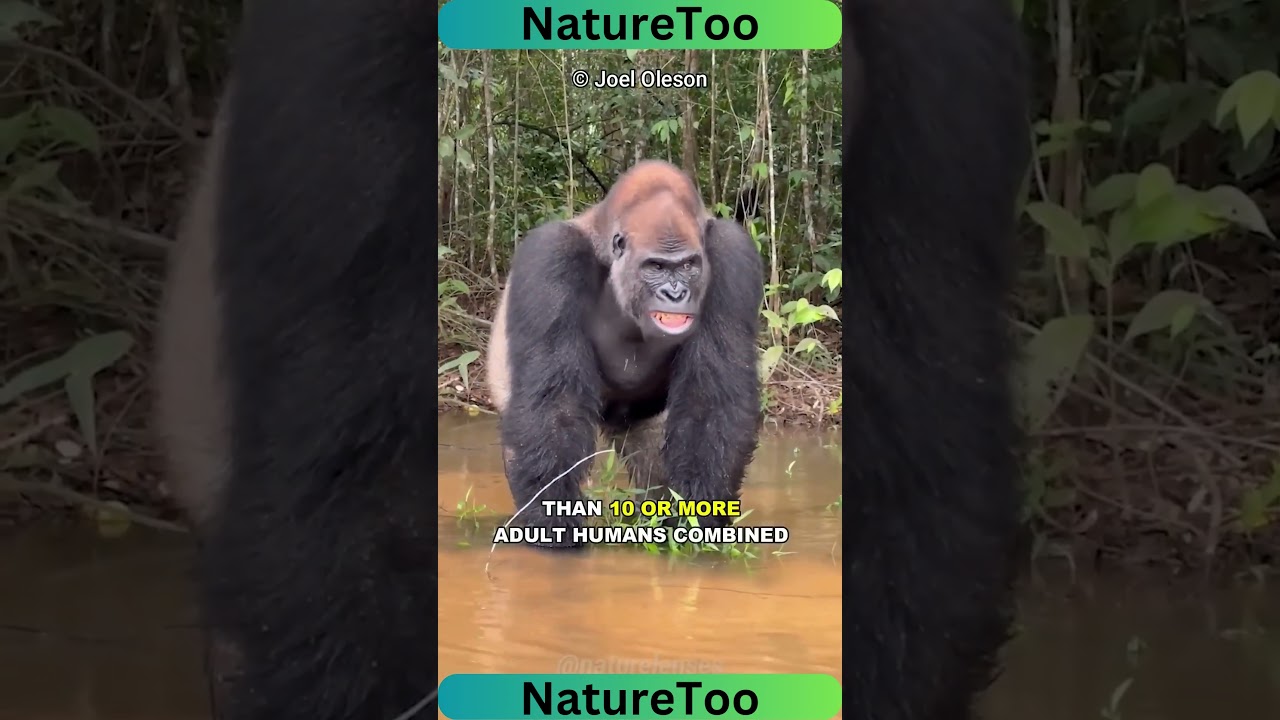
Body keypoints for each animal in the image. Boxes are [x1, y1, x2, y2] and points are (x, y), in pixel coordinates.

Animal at [486, 159, 765, 546]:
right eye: (656, 267)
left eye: (689, 265)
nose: (676, 294)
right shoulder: (551, 255)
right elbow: (554, 410)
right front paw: (552, 524)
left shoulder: (732, 252)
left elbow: (711, 404)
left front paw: (700, 522)